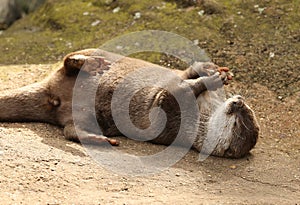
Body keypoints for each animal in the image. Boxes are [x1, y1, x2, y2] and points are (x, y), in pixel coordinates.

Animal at [0, 48, 258, 158]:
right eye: (248, 111)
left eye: (237, 123)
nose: (238, 101)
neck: (202, 112)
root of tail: (50, 90)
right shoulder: (179, 78)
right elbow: (187, 74)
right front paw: (216, 73)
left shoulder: (170, 115)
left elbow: (172, 94)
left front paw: (211, 78)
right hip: (85, 55)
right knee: (67, 60)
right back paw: (91, 63)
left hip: (80, 116)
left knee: (70, 130)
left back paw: (100, 139)